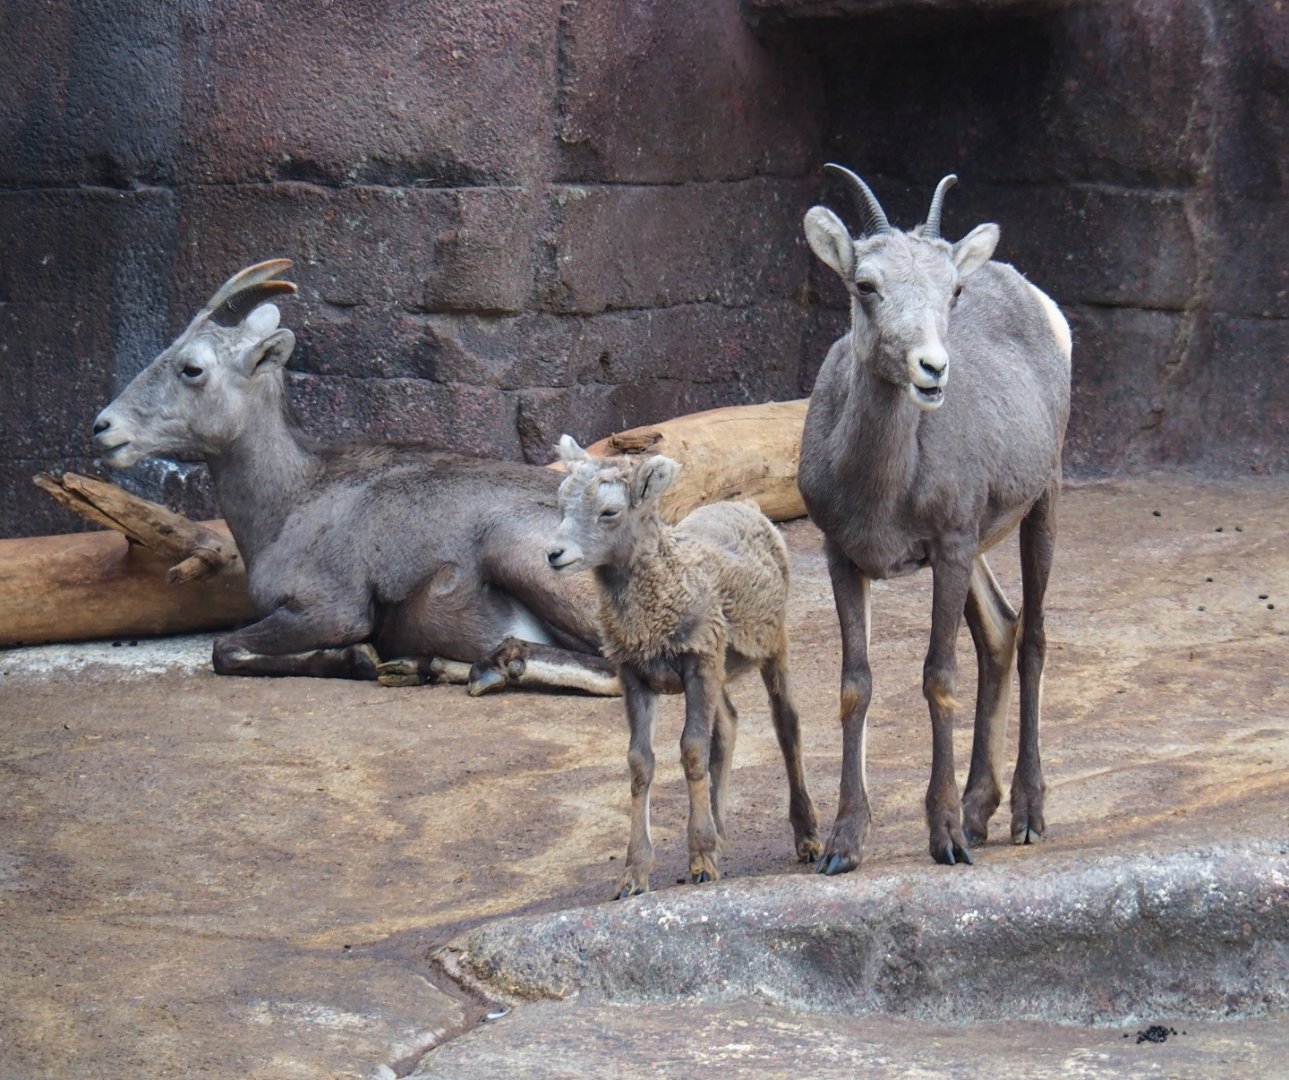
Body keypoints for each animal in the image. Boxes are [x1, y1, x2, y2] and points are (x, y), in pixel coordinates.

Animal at [545, 435, 821, 898]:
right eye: (561, 504)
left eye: (609, 512)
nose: (554, 554)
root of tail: (749, 507)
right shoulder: (636, 676)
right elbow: (640, 762)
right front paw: (634, 876)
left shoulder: (696, 664)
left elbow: (692, 751)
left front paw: (702, 864)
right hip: (719, 665)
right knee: (727, 726)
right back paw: (720, 832)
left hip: (771, 645)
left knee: (787, 723)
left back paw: (808, 838)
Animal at [799, 166, 1072, 872]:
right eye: (865, 285)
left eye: (952, 290)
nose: (932, 369)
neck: (881, 487)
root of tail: (1043, 304)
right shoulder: (844, 556)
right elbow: (856, 685)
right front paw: (843, 845)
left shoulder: (946, 547)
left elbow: (938, 676)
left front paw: (945, 838)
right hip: (977, 546)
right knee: (1001, 629)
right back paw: (981, 811)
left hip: (1042, 502)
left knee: (1032, 636)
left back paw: (1025, 817)